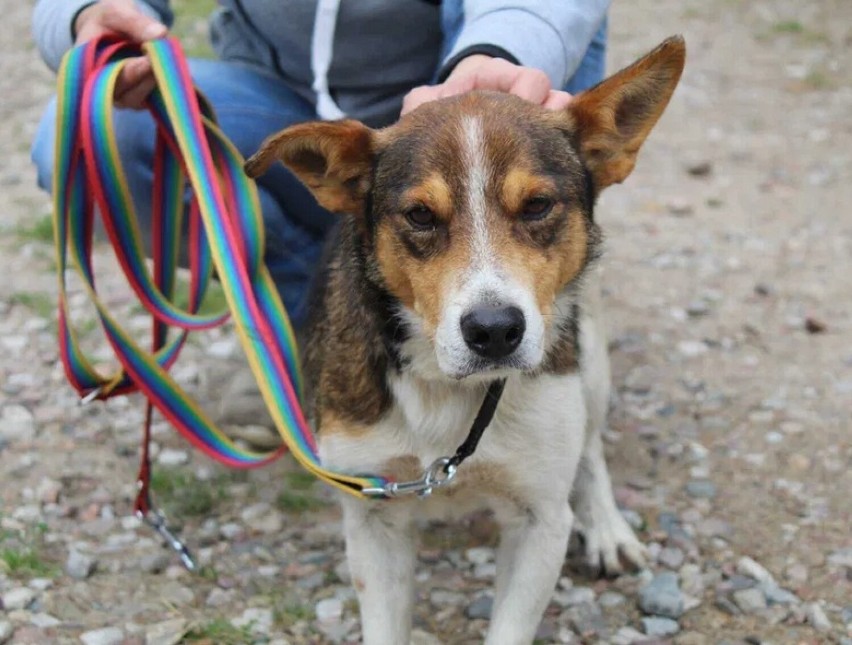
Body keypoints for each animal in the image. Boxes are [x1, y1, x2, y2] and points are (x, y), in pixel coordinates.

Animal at [246, 36, 684, 644]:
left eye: (537, 205)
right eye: (420, 215)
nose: (494, 330)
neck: (445, 388)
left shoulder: (540, 519)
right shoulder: (373, 514)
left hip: (589, 356)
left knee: (592, 445)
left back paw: (607, 528)